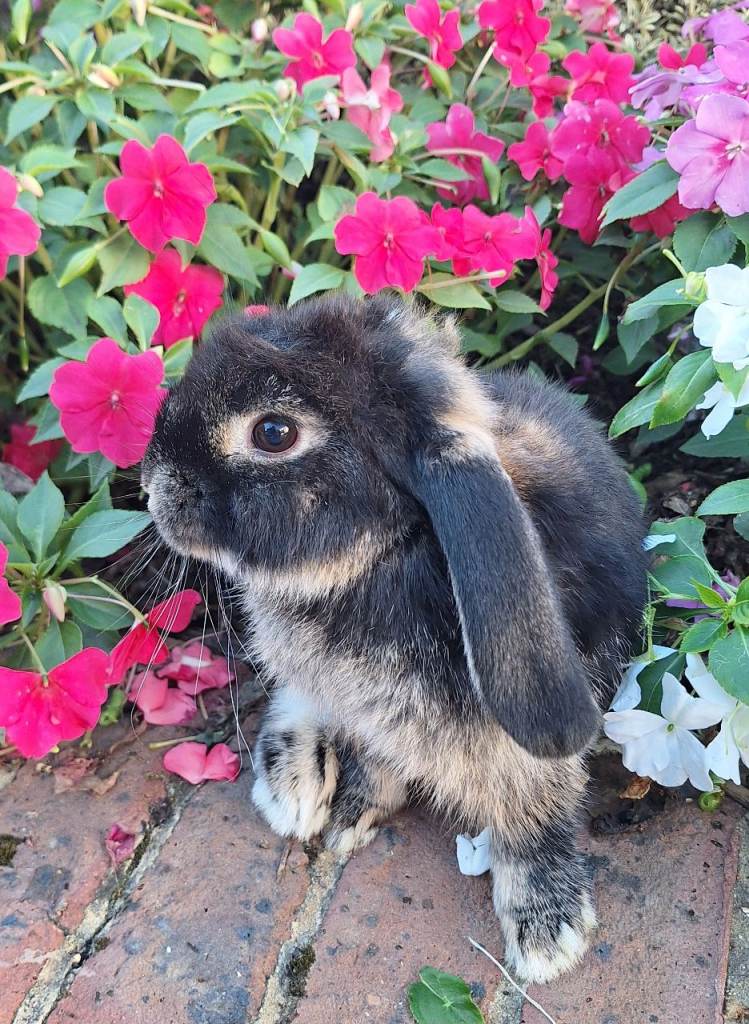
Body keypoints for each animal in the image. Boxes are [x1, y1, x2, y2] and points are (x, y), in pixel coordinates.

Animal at [141, 294, 648, 984]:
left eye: (273, 432)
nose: (151, 484)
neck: (382, 552)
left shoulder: (512, 749)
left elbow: (533, 814)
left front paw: (548, 937)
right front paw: (345, 814)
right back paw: (294, 786)